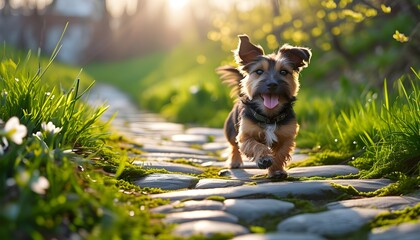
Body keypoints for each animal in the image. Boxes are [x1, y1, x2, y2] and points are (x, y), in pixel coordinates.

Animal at [217, 34, 312, 179]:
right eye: (259, 71)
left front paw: (276, 171)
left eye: (283, 72)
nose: (272, 84)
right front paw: (264, 159)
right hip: (231, 130)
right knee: (234, 145)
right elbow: (255, 145)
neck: (269, 116)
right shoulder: (245, 134)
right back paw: (235, 162)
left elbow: (280, 153)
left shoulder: (287, 136)